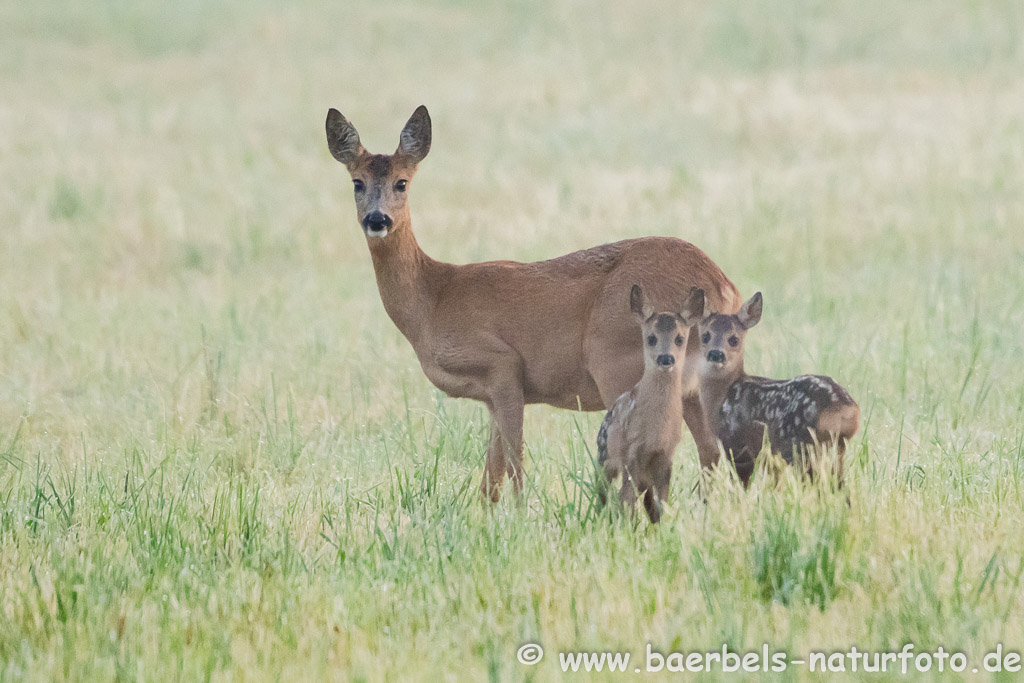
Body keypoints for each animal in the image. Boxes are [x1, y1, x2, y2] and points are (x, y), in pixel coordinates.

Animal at [323, 107, 741, 501]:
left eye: (402, 182)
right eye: (357, 182)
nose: (378, 220)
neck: (434, 299)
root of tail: (722, 285)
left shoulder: (503, 366)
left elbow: (515, 463)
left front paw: (521, 517)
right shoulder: (491, 396)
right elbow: (490, 480)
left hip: (619, 360)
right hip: (695, 384)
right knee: (713, 450)